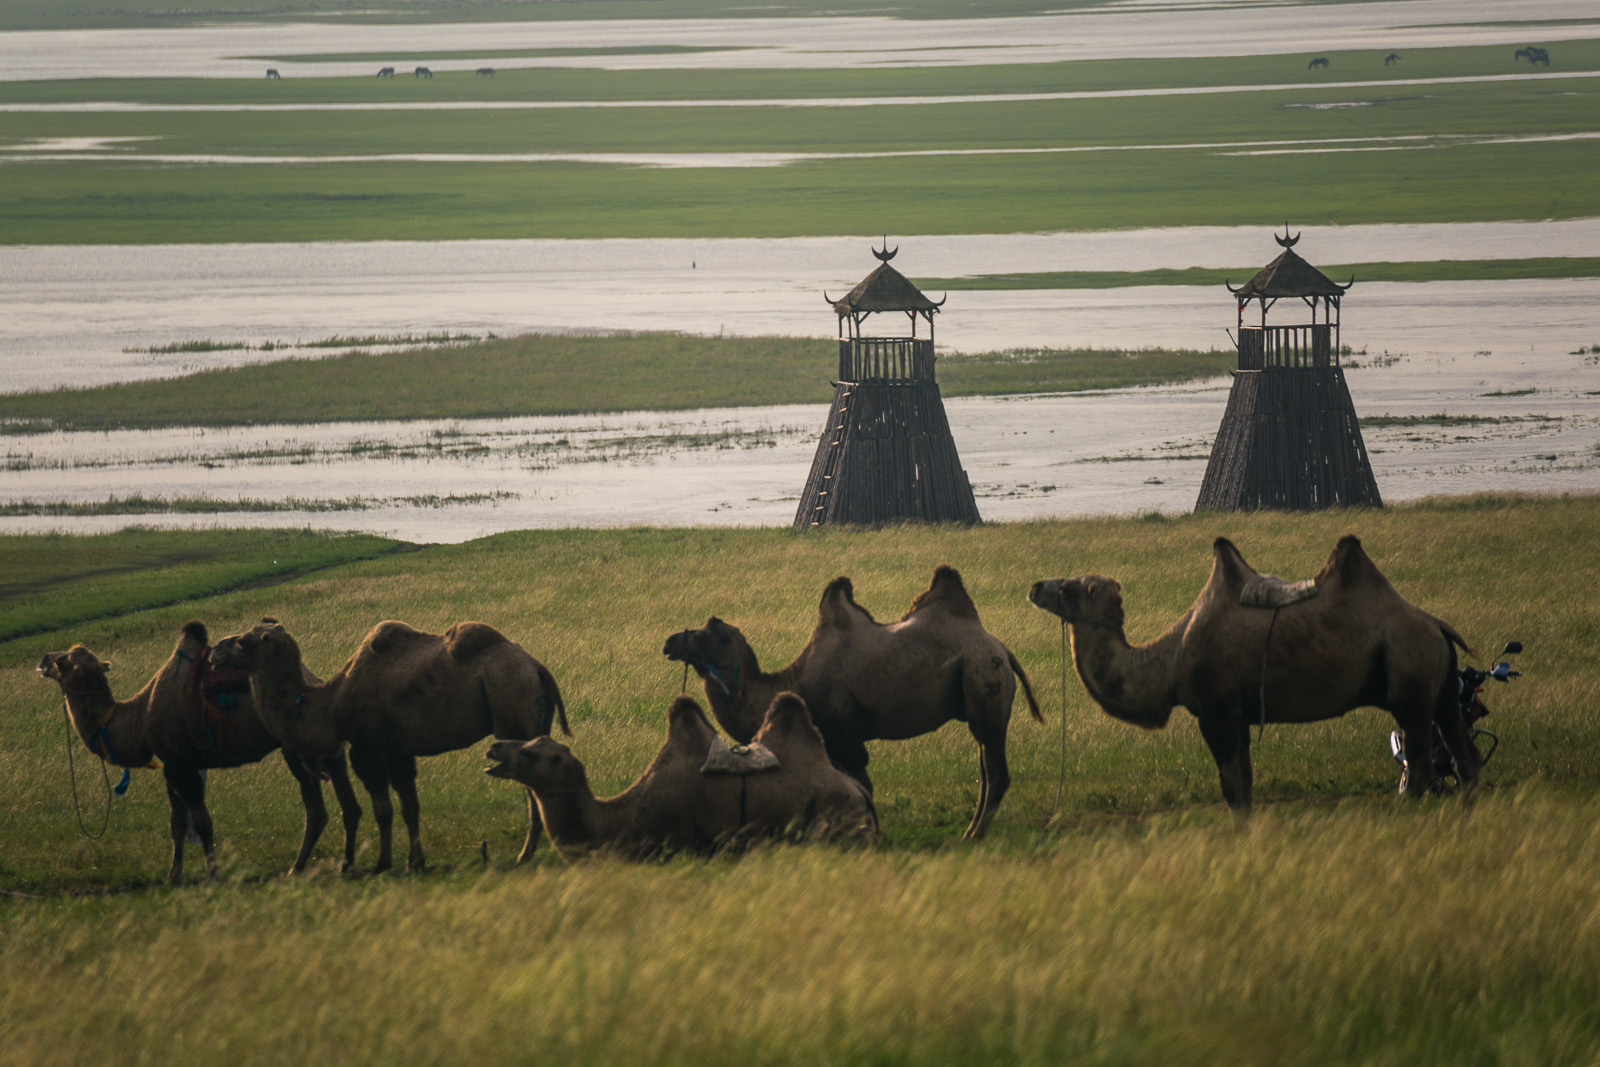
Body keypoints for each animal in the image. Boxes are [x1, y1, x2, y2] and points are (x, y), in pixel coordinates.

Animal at [35, 617, 363, 883]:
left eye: (63, 661)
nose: (44, 659)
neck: (139, 718)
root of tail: (314, 681)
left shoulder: (180, 765)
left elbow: (203, 822)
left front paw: (213, 874)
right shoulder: (173, 765)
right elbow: (177, 824)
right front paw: (173, 877)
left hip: (293, 748)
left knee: (316, 808)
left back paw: (301, 867)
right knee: (332, 801)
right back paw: (317, 865)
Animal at [209, 620, 566, 870]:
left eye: (242, 642)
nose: (214, 652)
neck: (329, 704)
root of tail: (538, 668)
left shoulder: (367, 748)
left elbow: (383, 809)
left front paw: (383, 863)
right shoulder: (399, 750)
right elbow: (410, 806)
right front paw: (415, 861)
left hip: (512, 709)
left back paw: (525, 854)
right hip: (535, 718)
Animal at [486, 694, 883, 857]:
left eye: (530, 753)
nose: (494, 748)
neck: (617, 820)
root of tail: (859, 792)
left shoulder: (679, 842)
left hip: (838, 823)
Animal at [659, 566, 1036, 844]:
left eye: (705, 633)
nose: (669, 642)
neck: (793, 682)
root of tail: (1002, 649)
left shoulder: (846, 736)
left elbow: (862, 786)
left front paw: (871, 834)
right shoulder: (834, 740)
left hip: (984, 682)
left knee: (996, 772)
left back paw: (974, 835)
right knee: (985, 769)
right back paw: (972, 829)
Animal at [1030, 534, 1478, 809]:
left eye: (1068, 588)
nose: (1035, 586)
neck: (1169, 662)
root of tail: (1437, 626)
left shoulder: (1215, 712)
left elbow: (1232, 788)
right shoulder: (1239, 715)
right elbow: (1245, 782)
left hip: (1409, 679)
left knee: (1421, 764)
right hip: (1442, 689)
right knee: (1464, 754)